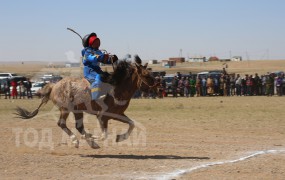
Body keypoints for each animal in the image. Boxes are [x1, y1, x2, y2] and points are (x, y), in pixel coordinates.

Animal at [14, 55, 156, 148]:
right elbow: (104, 135)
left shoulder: (117, 114)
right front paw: (91, 137)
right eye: (146, 75)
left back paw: (91, 143)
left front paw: (120, 137)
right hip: (65, 109)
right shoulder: (102, 116)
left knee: (79, 126)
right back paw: (77, 141)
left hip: (77, 111)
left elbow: (131, 123)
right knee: (62, 123)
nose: (157, 85)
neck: (116, 88)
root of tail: (54, 86)